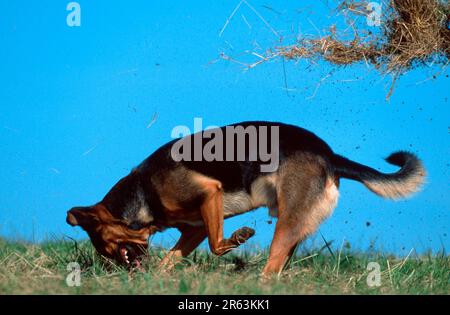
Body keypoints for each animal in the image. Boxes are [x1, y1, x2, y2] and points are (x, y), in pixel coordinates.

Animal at [67, 122, 426, 276]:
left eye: (105, 245)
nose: (122, 274)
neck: (143, 191)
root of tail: (329, 156)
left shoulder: (209, 194)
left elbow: (217, 244)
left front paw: (238, 238)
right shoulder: (195, 226)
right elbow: (173, 256)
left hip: (286, 223)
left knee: (272, 264)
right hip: (296, 225)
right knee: (280, 264)